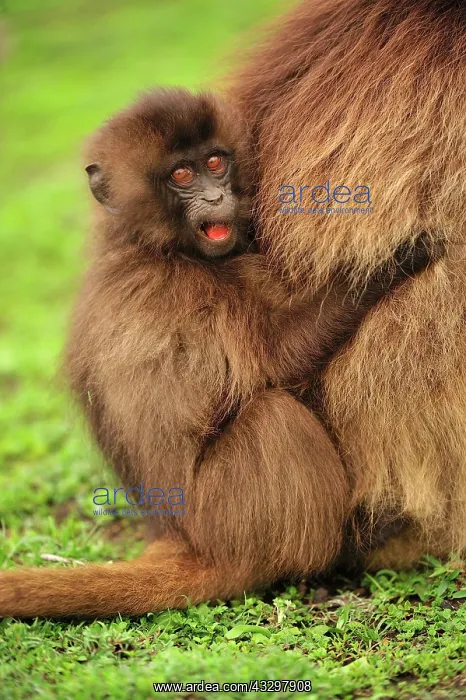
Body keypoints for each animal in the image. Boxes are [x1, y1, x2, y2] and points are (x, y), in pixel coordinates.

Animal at [0, 87, 440, 618]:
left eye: (215, 162)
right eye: (181, 176)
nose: (215, 197)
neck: (153, 246)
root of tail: (189, 542)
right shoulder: (186, 290)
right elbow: (277, 362)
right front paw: (396, 259)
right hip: (228, 520)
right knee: (273, 417)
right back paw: (337, 552)